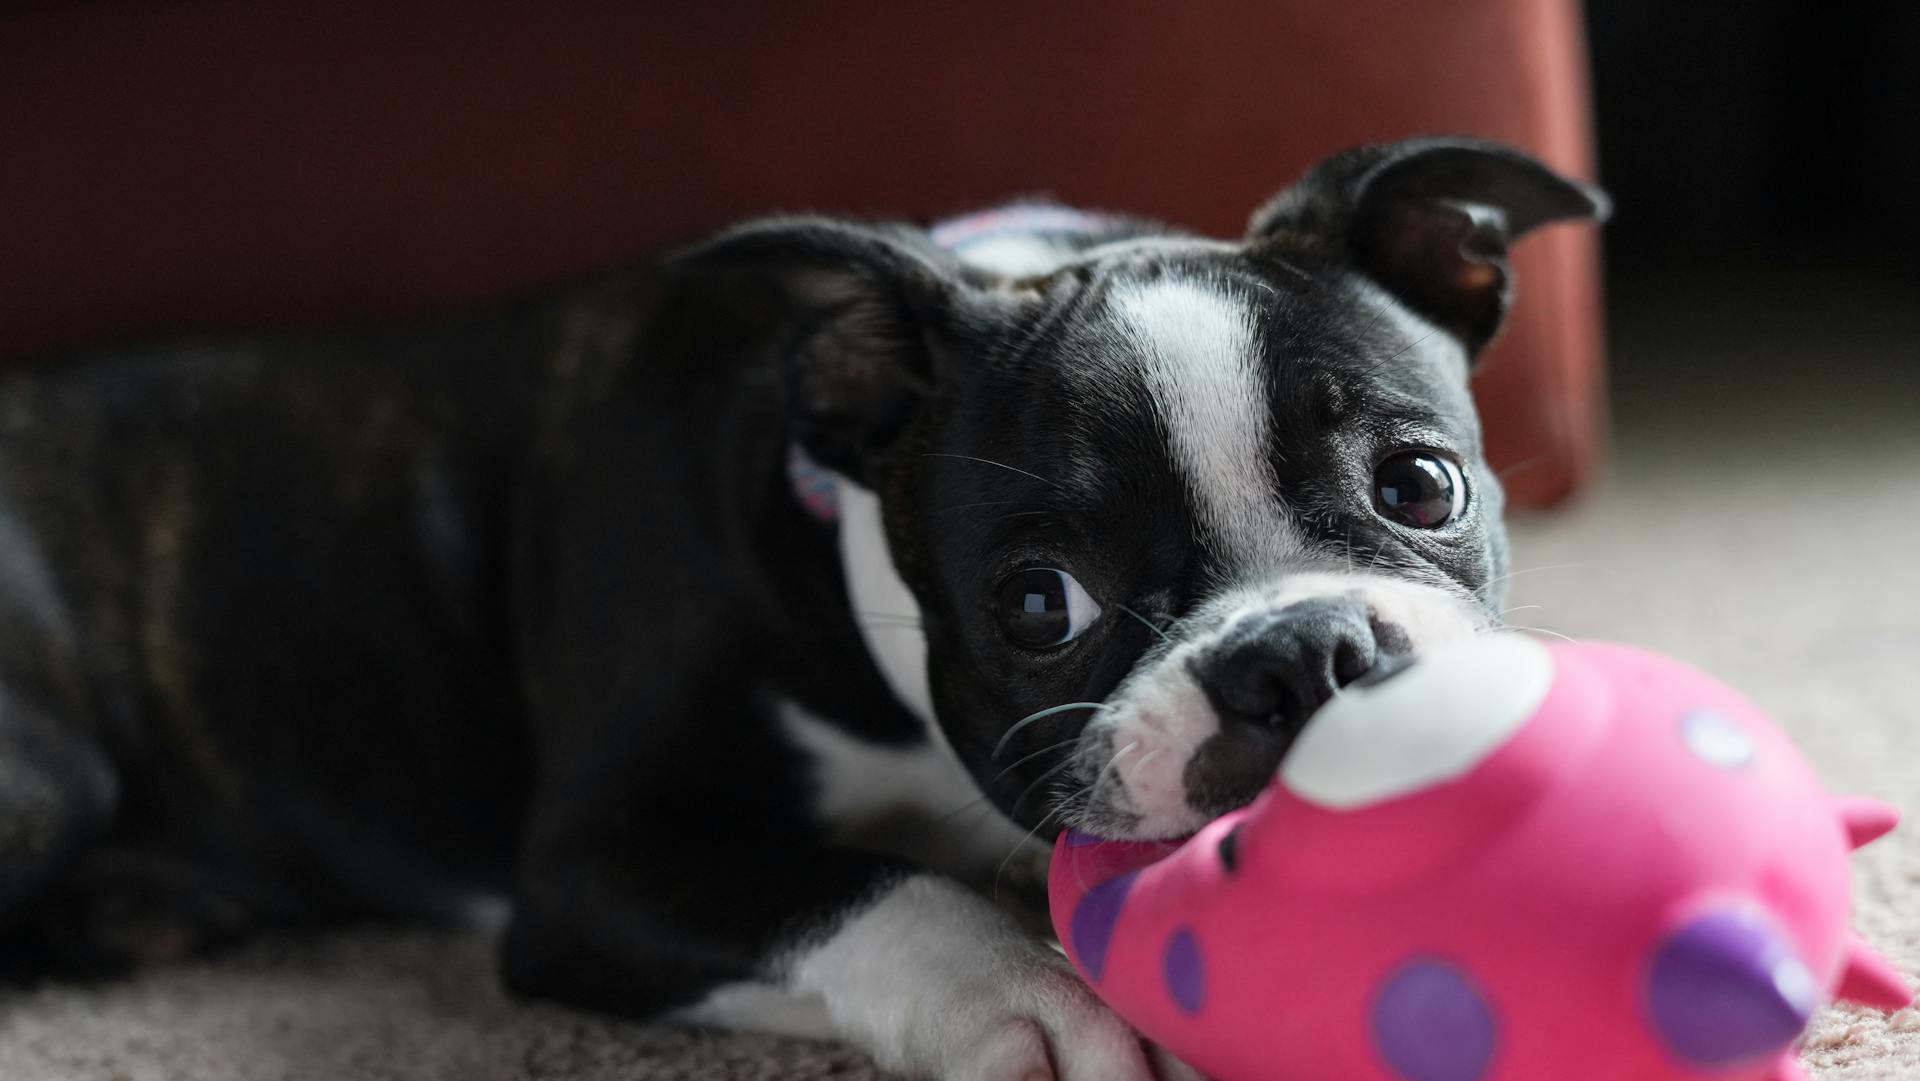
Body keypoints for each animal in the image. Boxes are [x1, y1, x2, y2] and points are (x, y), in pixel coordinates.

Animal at [0, 139, 1605, 1075]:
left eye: (1420, 484)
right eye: (1040, 604)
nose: (1301, 655)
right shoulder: (598, 869)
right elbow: (864, 883)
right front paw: (1038, 996)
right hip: (49, 769)